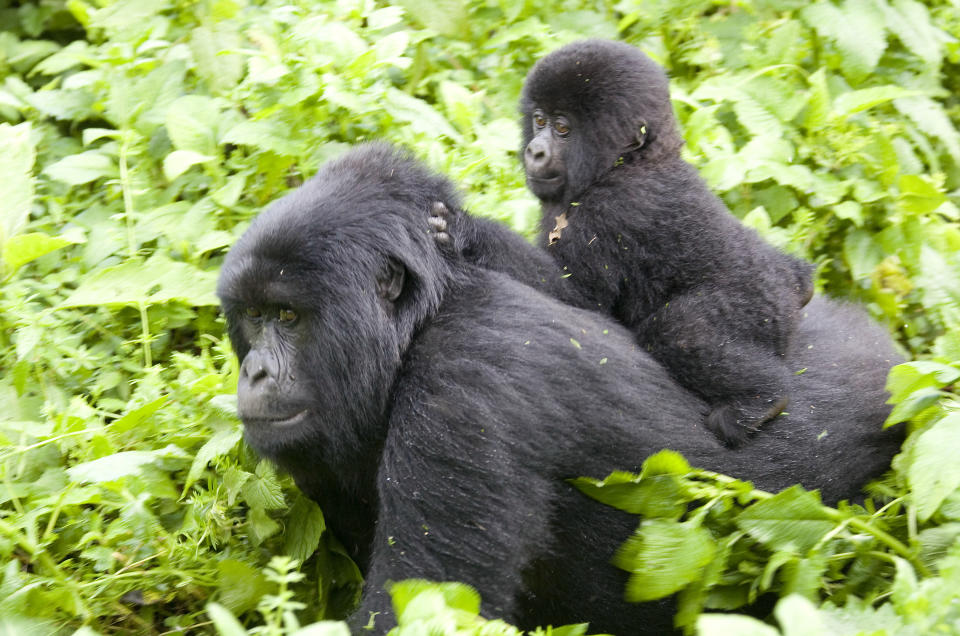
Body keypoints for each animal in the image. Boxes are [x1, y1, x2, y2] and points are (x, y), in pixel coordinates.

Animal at [216, 145, 900, 636]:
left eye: (288, 316)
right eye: (252, 316)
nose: (255, 374)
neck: (421, 324)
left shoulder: (464, 392)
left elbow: (416, 612)